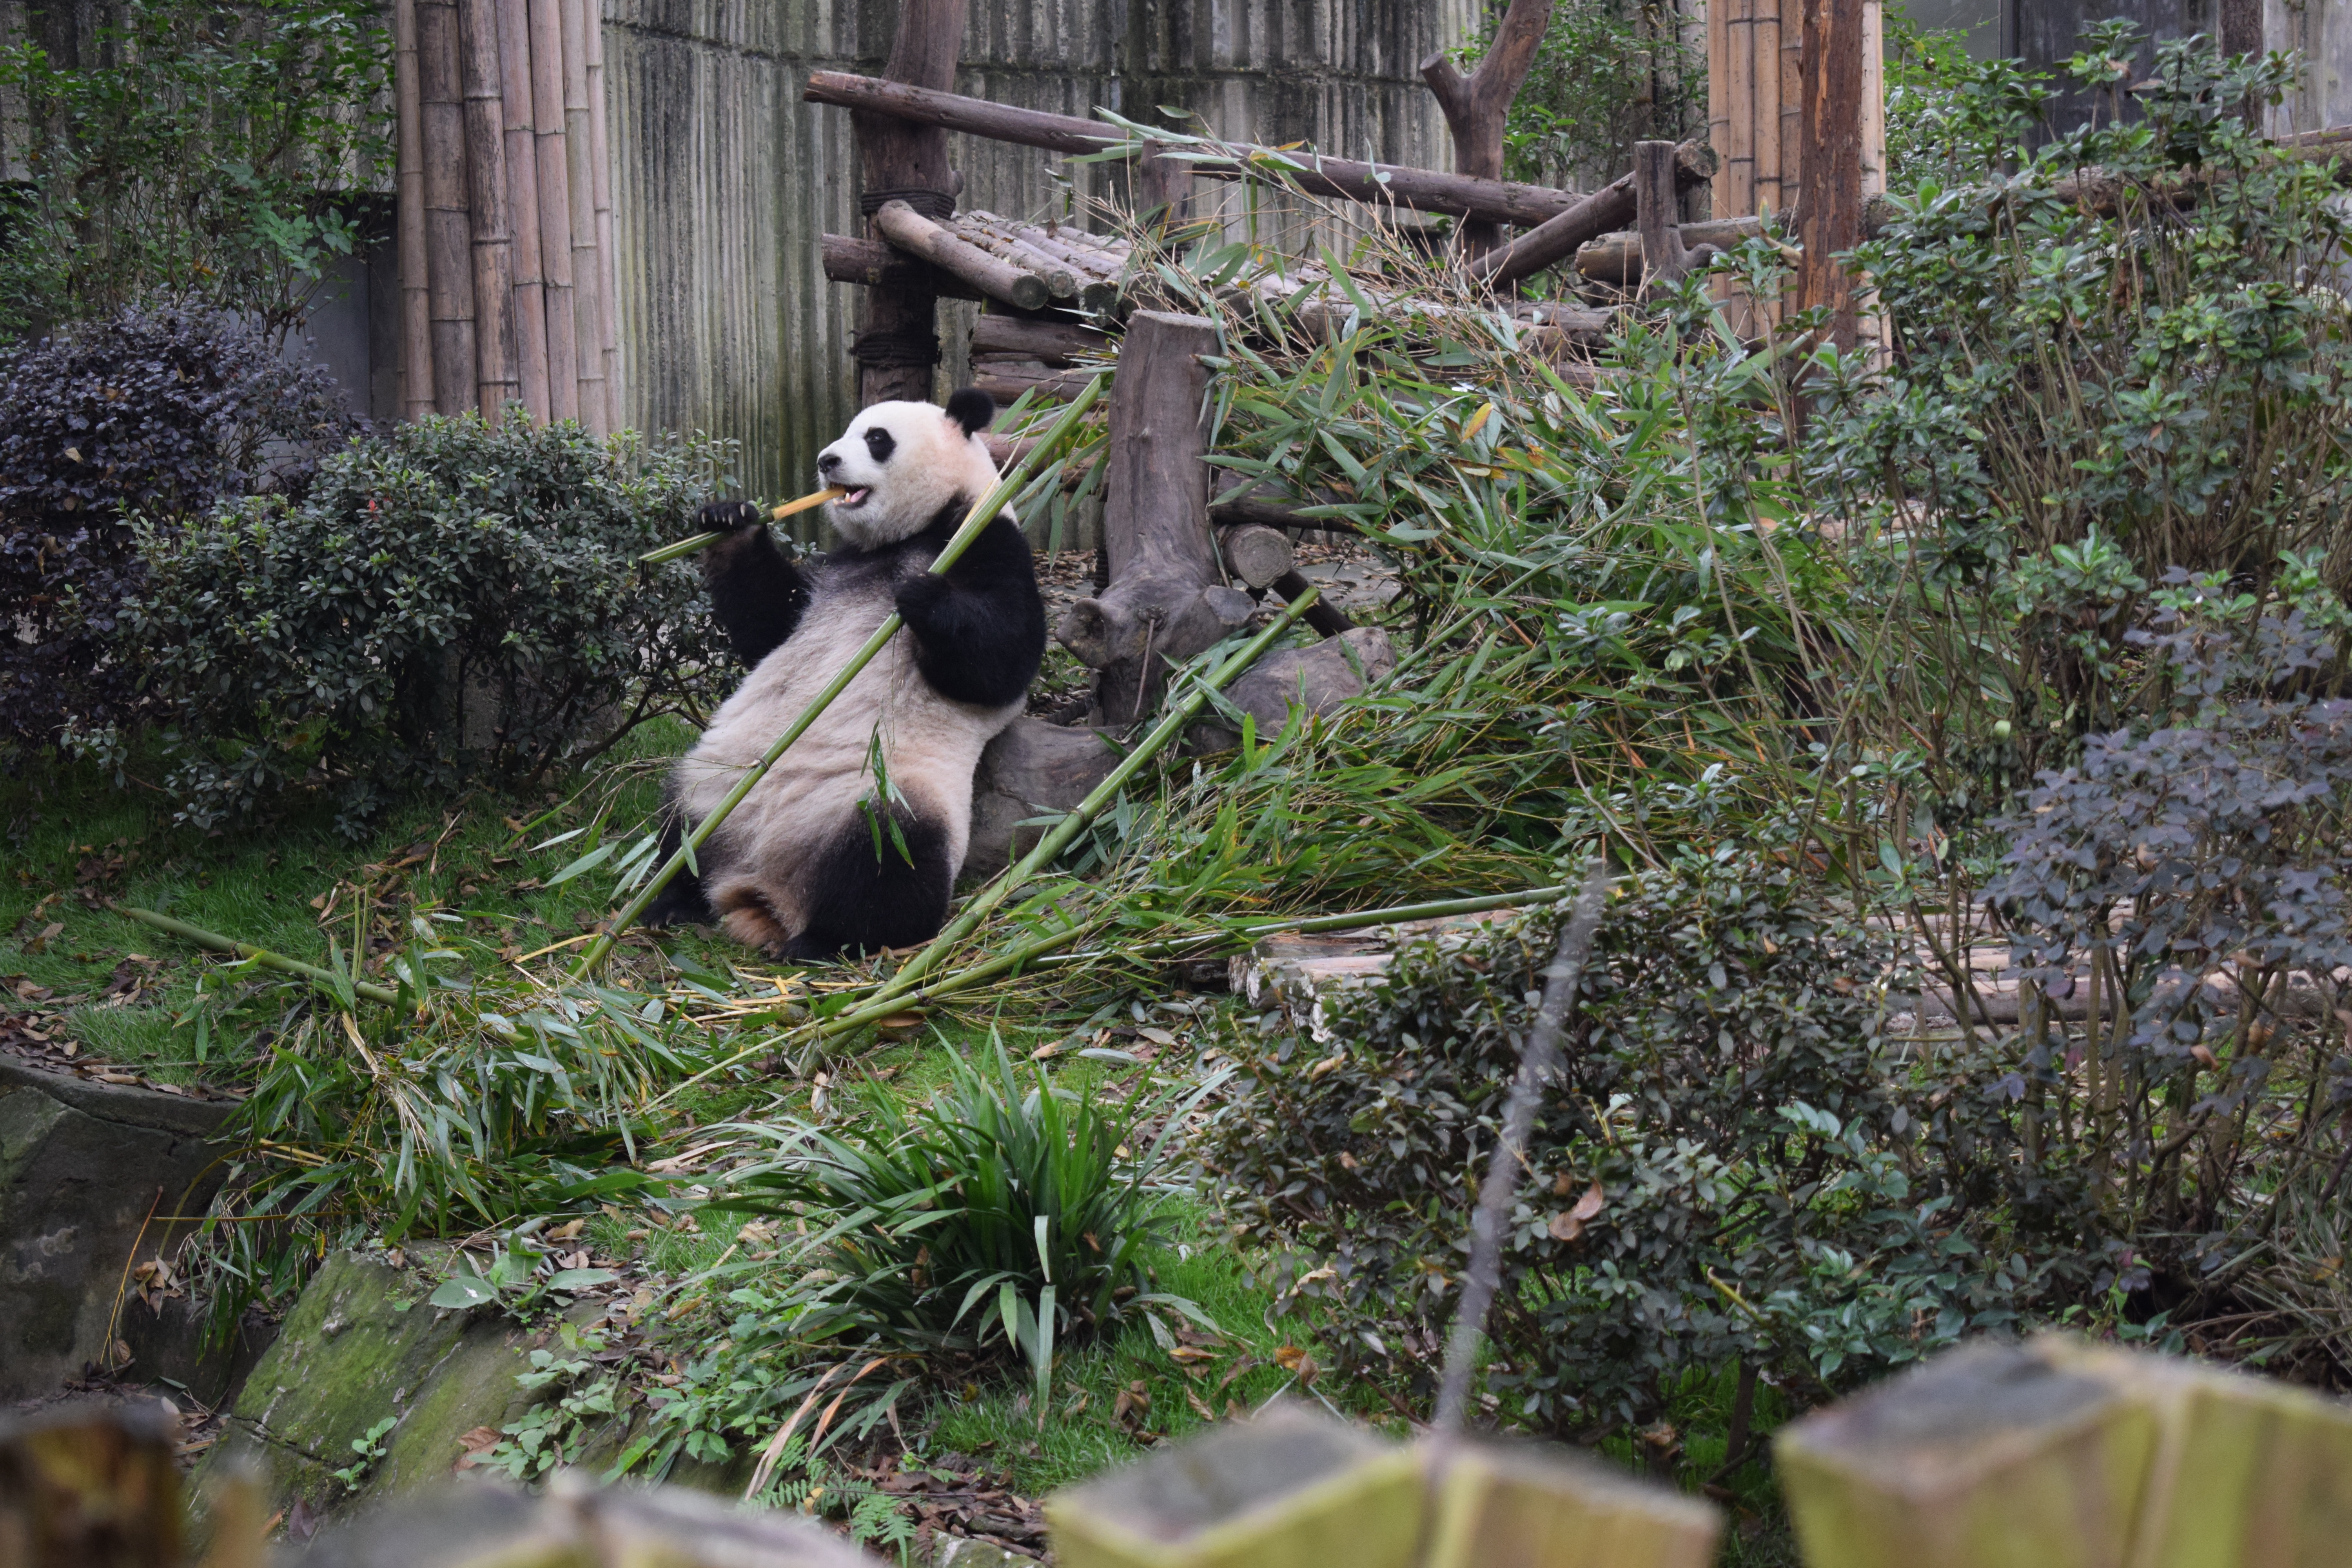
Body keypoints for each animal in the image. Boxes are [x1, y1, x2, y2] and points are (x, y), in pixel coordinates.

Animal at [642, 388, 1045, 959]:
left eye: (876, 438)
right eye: (847, 430)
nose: (825, 461)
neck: (906, 536)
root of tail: (762, 885)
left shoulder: (986, 539)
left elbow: (1001, 663)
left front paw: (921, 595)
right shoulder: (832, 569)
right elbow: (769, 623)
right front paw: (729, 518)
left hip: (885, 795)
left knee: (890, 869)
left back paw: (820, 940)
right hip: (717, 780)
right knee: (680, 827)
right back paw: (671, 902)